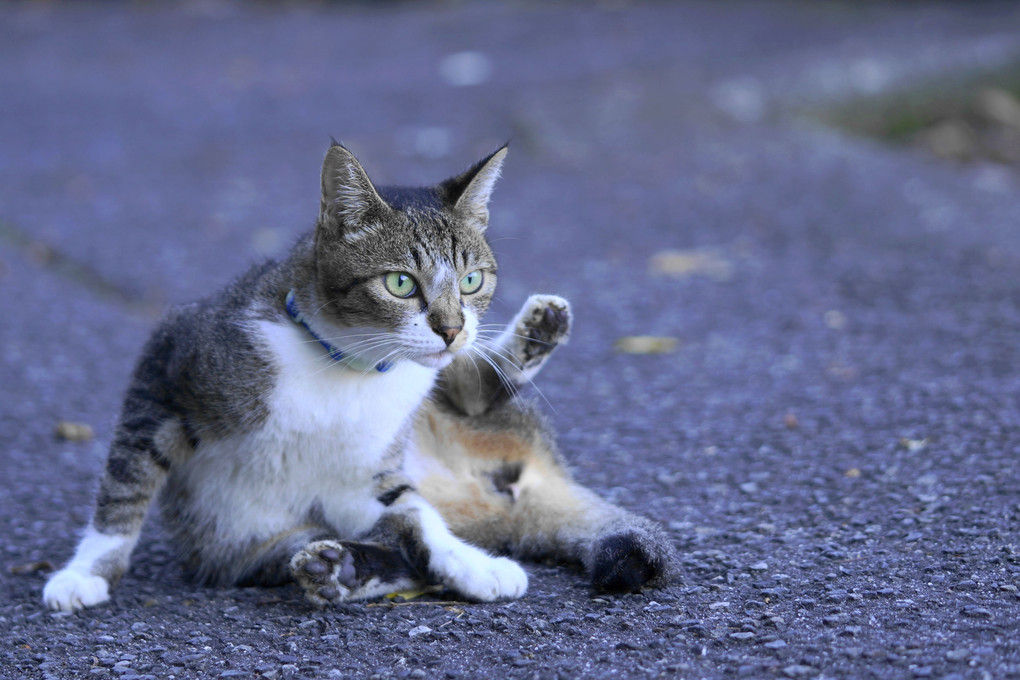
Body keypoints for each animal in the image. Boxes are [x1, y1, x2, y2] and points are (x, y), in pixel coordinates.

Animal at [41, 142, 677, 611]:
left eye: (471, 280)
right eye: (400, 283)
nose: (452, 329)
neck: (347, 367)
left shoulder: (372, 470)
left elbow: (418, 517)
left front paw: (471, 565)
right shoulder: (168, 365)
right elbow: (123, 489)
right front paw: (86, 573)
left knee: (472, 395)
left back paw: (535, 333)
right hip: (267, 544)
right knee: (391, 559)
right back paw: (341, 567)